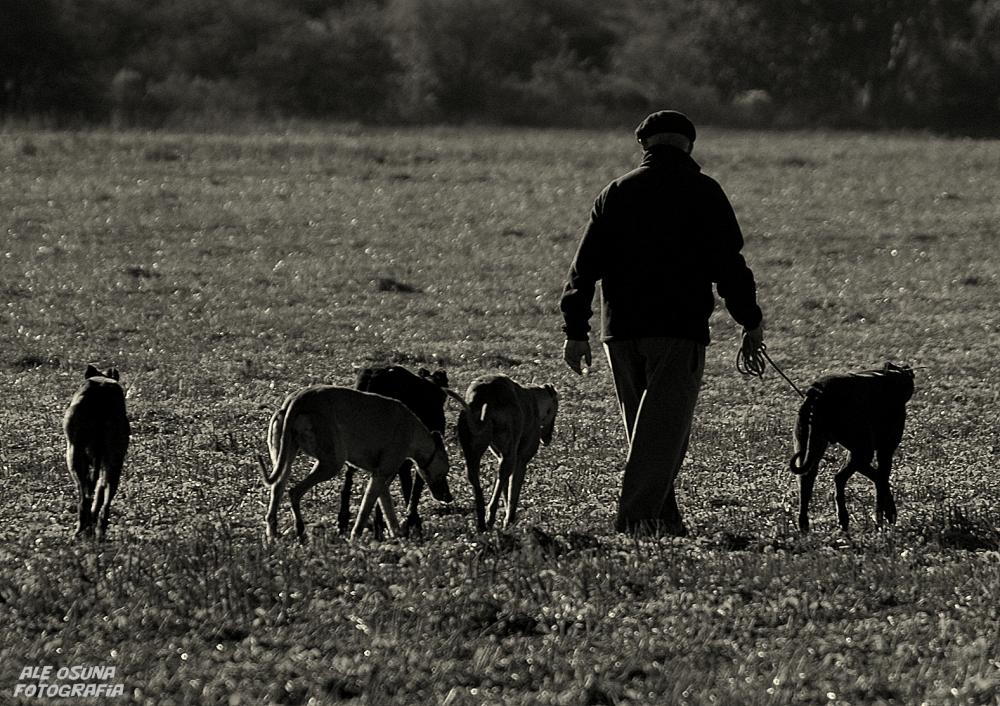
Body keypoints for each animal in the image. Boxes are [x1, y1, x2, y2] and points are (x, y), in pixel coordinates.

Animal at [63, 366, 130, 536]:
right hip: (115, 462)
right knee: (104, 501)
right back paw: (98, 531)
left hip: (73, 455)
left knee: (84, 497)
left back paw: (79, 531)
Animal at [264, 384, 456, 540]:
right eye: (444, 472)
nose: (449, 497)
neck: (414, 431)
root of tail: (297, 399)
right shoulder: (379, 476)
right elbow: (365, 509)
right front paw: (355, 538)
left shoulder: (381, 479)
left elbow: (387, 510)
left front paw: (399, 538)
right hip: (332, 463)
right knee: (294, 492)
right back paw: (300, 530)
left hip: (286, 457)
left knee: (278, 488)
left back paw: (272, 534)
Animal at [344, 366, 454, 536]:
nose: (448, 497)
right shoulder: (418, 458)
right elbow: (414, 489)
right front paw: (412, 523)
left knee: (348, 476)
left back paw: (344, 522)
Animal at [450, 374, 560, 528]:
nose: (548, 438)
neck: (532, 397)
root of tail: (487, 394)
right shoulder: (520, 460)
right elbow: (513, 494)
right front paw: (509, 521)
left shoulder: (501, 457)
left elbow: (506, 491)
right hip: (508, 455)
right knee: (499, 485)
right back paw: (490, 519)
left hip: (473, 453)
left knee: (476, 479)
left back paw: (482, 524)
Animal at [788, 360, 916, 532]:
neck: (893, 377)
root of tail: (817, 393)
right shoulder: (882, 452)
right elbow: (881, 482)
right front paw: (882, 517)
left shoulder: (857, 455)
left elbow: (879, 479)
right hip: (862, 448)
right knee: (839, 478)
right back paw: (844, 517)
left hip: (811, 448)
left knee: (806, 480)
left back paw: (805, 526)